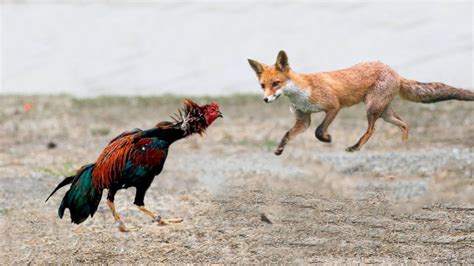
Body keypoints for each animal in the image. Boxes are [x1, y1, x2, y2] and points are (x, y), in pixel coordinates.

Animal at [248, 50, 474, 155]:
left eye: (276, 84)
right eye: (263, 85)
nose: (265, 99)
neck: (302, 92)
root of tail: (395, 72)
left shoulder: (333, 106)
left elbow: (319, 131)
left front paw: (328, 139)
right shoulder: (303, 119)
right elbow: (288, 134)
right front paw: (279, 149)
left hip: (371, 108)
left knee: (371, 129)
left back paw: (356, 147)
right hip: (385, 112)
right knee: (404, 123)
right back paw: (404, 142)